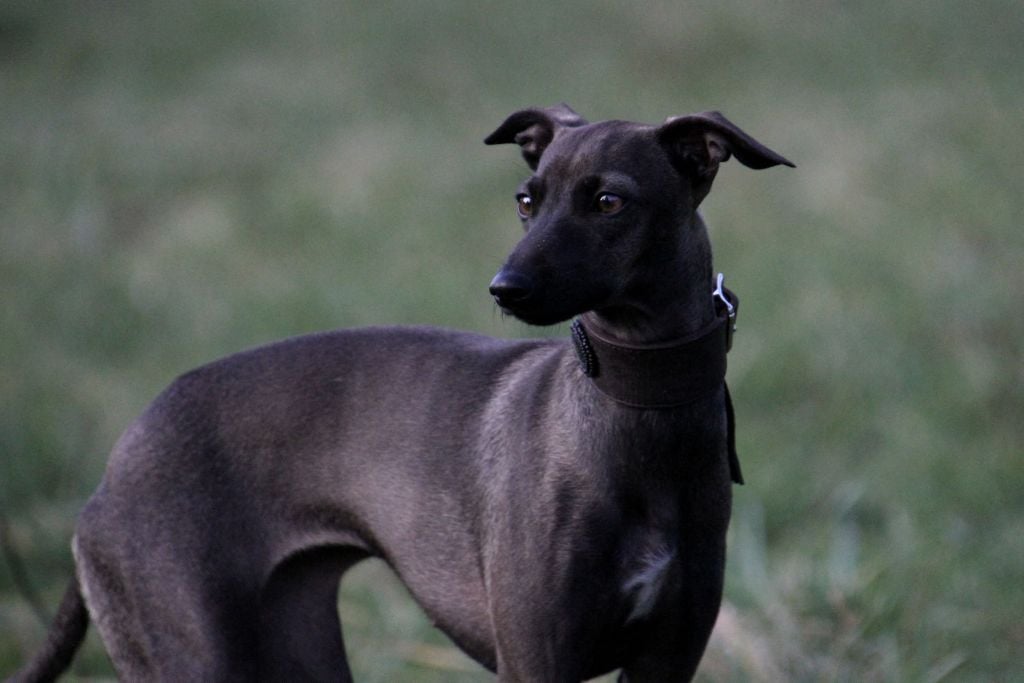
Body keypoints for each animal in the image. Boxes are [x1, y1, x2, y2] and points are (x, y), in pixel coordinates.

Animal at [9, 104, 790, 679]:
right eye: (525, 200)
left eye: (608, 201)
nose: (505, 288)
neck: (637, 406)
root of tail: (112, 471)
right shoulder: (537, 661)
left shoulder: (667, 657)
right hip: (195, 653)